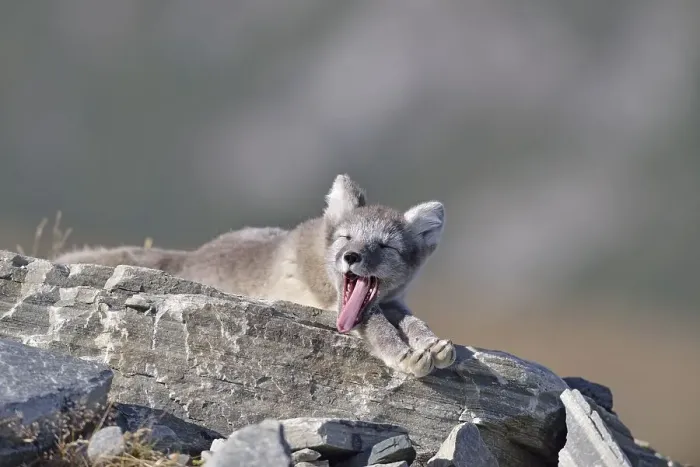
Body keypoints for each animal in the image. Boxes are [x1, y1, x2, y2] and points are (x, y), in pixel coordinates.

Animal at [54, 174, 456, 377]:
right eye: (346, 238)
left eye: (386, 246)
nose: (351, 256)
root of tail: (191, 257)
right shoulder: (331, 303)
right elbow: (375, 322)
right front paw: (404, 354)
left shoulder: (393, 300)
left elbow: (412, 319)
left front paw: (431, 343)